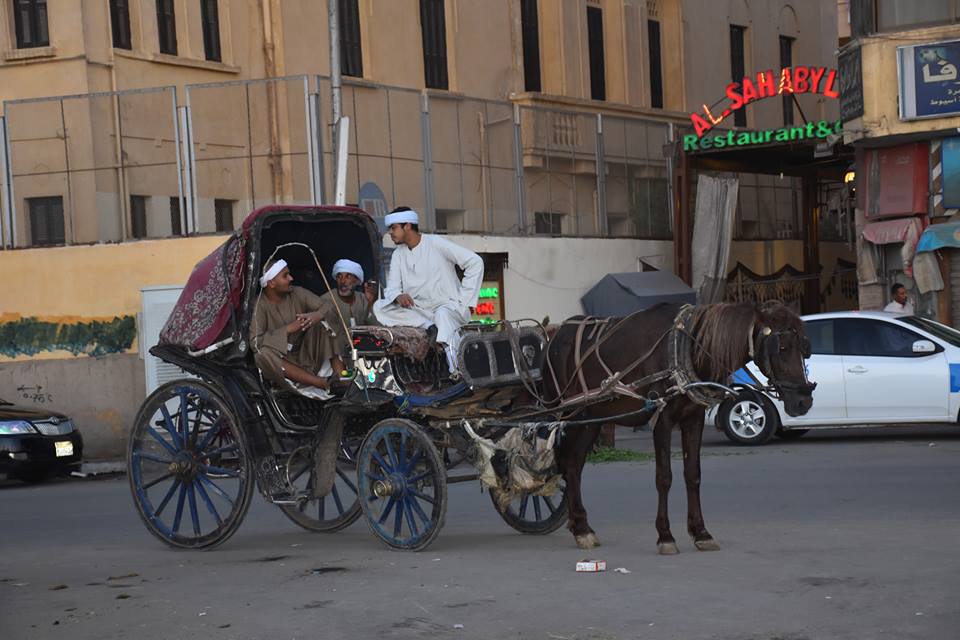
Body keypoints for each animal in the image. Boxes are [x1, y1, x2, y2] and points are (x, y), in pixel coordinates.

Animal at [544, 302, 812, 552]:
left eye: (804, 348)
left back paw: (581, 526)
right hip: (569, 413)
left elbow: (693, 475)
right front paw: (665, 536)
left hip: (591, 419)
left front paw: (701, 532)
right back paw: (579, 526)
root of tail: (555, 335)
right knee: (567, 461)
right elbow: (664, 477)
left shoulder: (693, 420)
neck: (689, 349)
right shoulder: (662, 419)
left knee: (573, 464)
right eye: (781, 348)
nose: (803, 401)